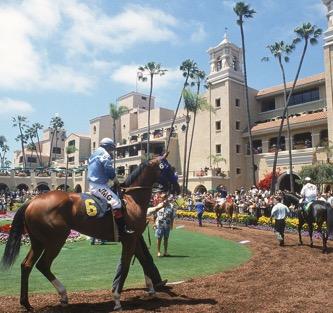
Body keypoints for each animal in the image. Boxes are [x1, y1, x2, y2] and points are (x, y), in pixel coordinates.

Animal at [0, 154, 179, 310]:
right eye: (169, 168)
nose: (177, 187)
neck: (132, 201)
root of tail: (33, 200)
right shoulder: (129, 239)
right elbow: (126, 266)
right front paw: (117, 299)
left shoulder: (134, 238)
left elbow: (142, 260)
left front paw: (151, 289)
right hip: (55, 240)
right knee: (43, 265)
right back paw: (63, 295)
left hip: (38, 241)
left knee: (27, 265)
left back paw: (26, 303)